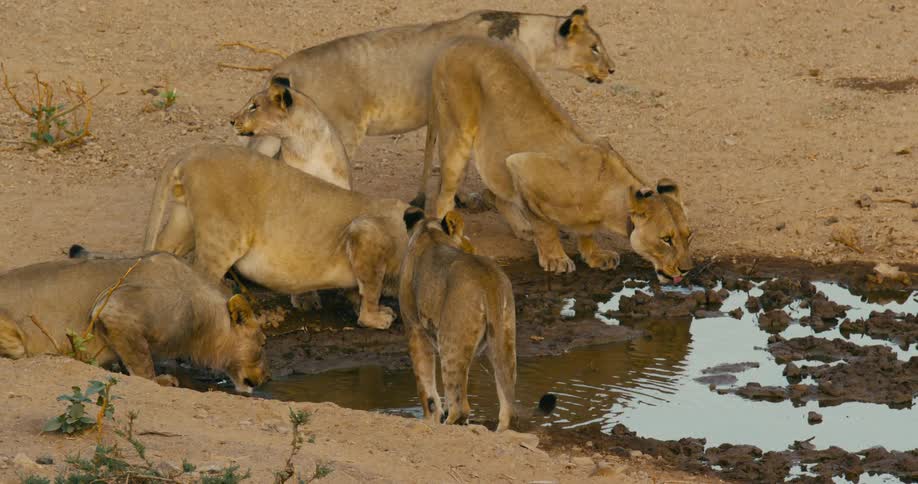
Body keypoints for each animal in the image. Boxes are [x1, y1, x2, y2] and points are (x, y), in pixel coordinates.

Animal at [144, 144, 422, 329]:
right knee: (202, 275)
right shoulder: (365, 233)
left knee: (163, 250)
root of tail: (192, 152)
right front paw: (375, 318)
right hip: (223, 236)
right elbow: (371, 285)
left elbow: (358, 288)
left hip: (184, 221)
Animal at [399, 211, 516, 431]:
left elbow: (425, 386)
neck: (429, 231)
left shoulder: (414, 327)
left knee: (461, 407)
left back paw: (449, 425)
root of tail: (487, 278)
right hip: (504, 339)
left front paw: (430, 419)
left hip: (450, 340)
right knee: (507, 404)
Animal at [425, 37, 694, 282]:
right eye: (666, 239)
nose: (686, 270)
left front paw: (595, 255)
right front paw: (556, 258)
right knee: (444, 196)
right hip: (456, 138)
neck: (609, 199)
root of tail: (457, 40)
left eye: (688, 235)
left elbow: (586, 233)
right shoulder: (522, 166)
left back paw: (521, 227)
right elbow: (545, 227)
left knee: (495, 193)